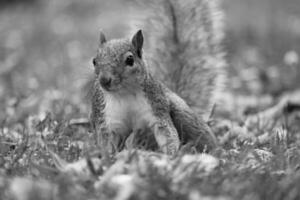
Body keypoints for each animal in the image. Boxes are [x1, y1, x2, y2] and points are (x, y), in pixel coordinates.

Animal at [89, 0, 225, 155]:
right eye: (94, 61)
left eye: (130, 60)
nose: (104, 80)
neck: (125, 92)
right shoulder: (106, 117)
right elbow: (106, 139)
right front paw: (106, 155)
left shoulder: (157, 107)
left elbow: (166, 131)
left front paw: (172, 154)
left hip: (181, 112)